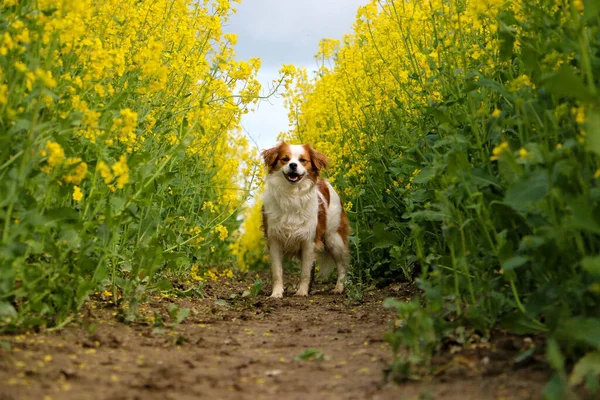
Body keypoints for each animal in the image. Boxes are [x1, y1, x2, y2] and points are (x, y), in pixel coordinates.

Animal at [260, 141, 350, 296]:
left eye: (302, 160)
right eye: (285, 159)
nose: (293, 165)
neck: (292, 195)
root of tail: (325, 182)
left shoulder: (308, 240)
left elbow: (305, 272)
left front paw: (302, 292)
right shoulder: (275, 240)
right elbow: (277, 272)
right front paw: (276, 293)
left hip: (334, 239)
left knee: (341, 266)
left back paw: (339, 287)